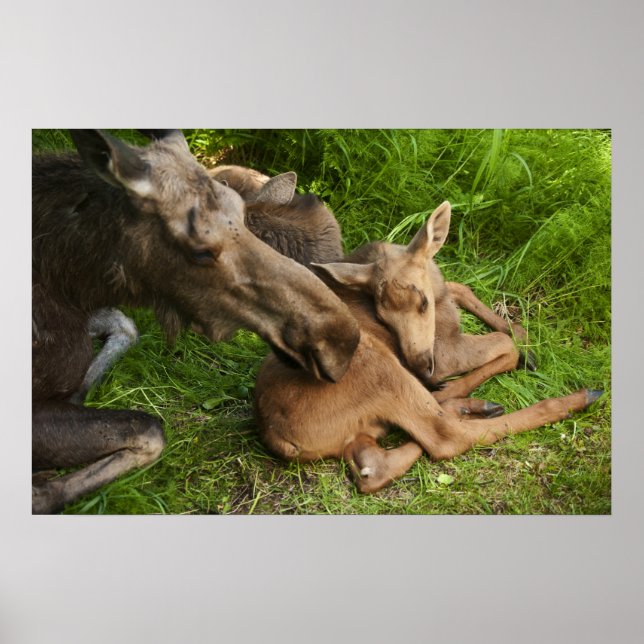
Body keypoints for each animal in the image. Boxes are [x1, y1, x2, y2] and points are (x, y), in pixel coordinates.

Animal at [253, 201, 603, 493]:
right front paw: (523, 347)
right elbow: (505, 345)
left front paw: (517, 328)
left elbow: (462, 287)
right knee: (444, 436)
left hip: (358, 430)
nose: (421, 365)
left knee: (373, 469)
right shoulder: (445, 352)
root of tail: (276, 437)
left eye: (422, 302)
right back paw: (576, 398)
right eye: (382, 316)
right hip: (378, 366)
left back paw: (467, 405)